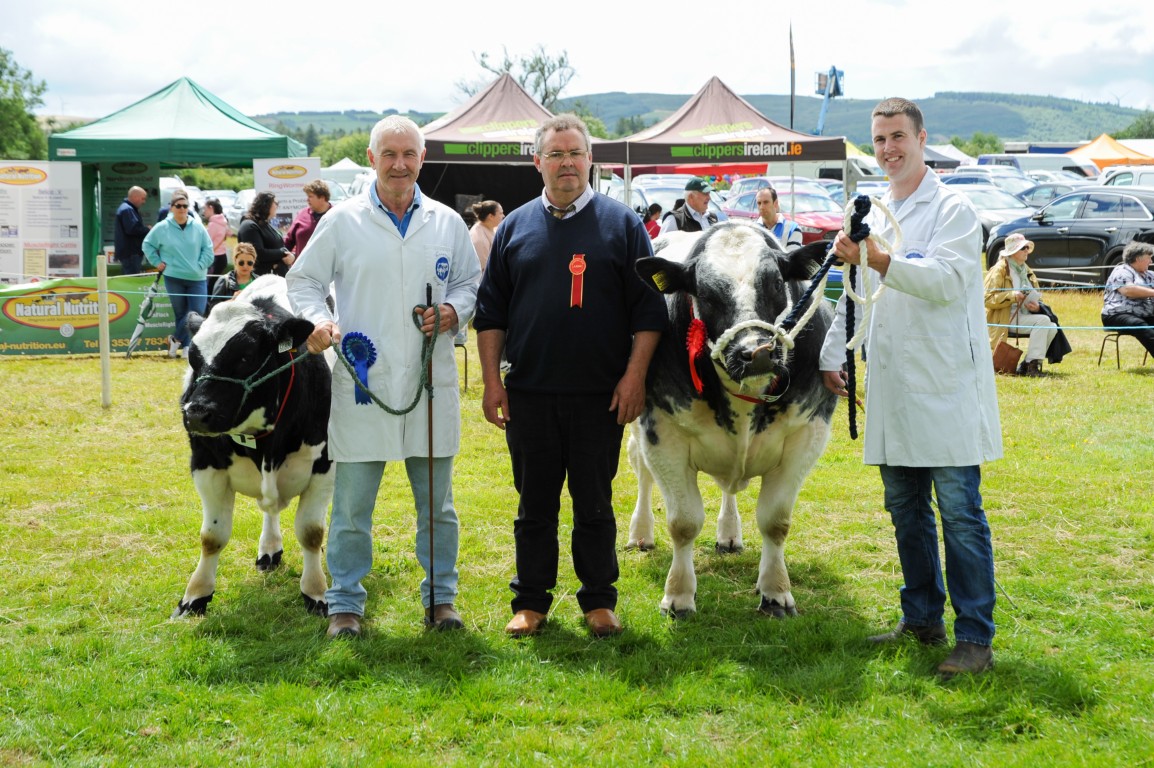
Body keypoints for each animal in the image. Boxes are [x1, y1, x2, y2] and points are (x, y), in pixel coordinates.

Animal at [172, 274, 333, 619]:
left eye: (245, 357)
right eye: (193, 358)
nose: (196, 413)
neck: (266, 444)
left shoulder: (324, 466)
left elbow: (311, 532)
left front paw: (316, 591)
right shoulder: (205, 465)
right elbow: (211, 537)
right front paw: (196, 595)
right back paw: (269, 549)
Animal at [627, 223, 838, 618]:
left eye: (776, 283)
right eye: (705, 293)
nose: (757, 351)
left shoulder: (808, 432)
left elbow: (776, 521)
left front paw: (775, 592)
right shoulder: (662, 433)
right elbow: (683, 523)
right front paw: (678, 595)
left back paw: (728, 534)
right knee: (642, 473)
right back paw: (641, 533)